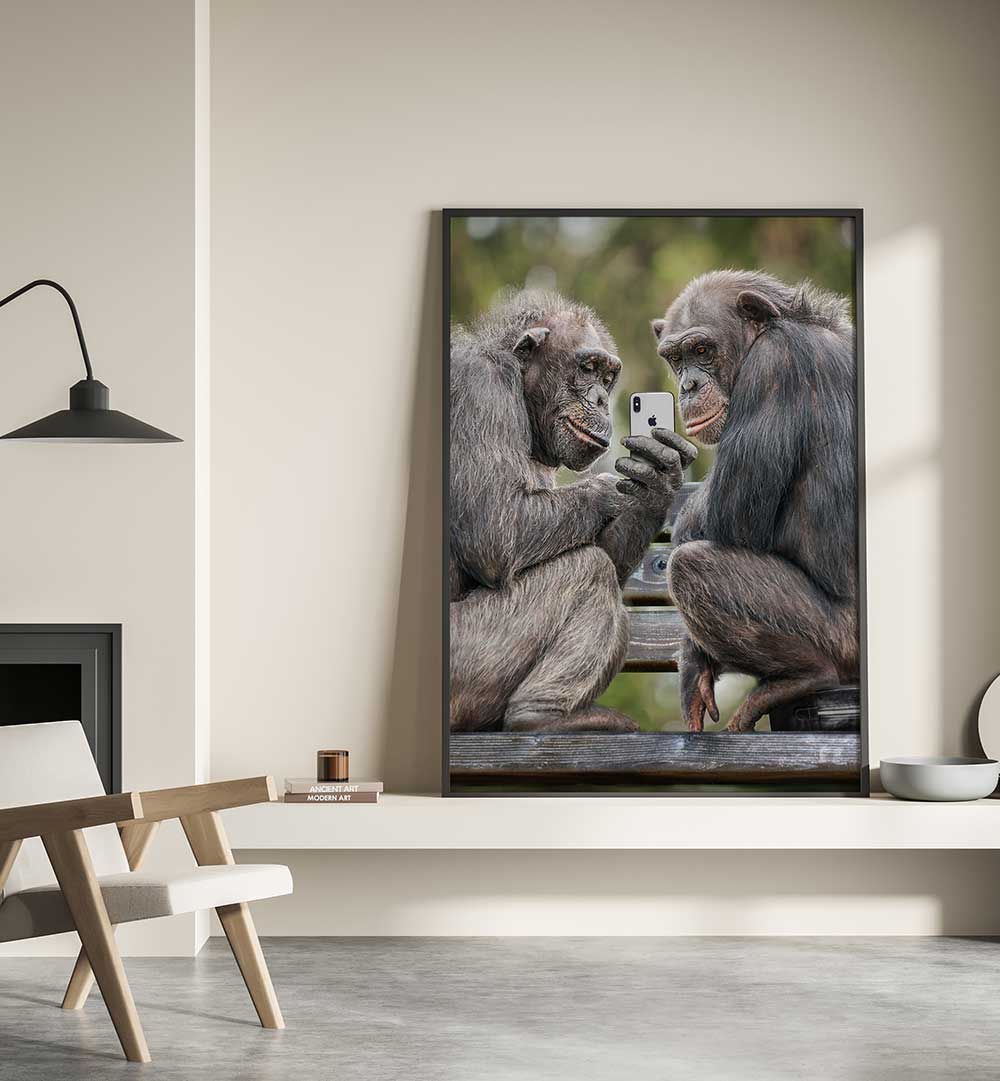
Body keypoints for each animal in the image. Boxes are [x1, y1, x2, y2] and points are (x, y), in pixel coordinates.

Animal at [450, 289, 696, 733]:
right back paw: (545, 716)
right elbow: (496, 528)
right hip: (467, 660)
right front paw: (609, 491)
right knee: (586, 569)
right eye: (588, 368)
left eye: (606, 377)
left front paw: (656, 484)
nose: (599, 398)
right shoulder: (480, 387)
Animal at [652, 270, 858, 732]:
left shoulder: (774, 366)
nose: (688, 385)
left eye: (702, 350)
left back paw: (803, 675)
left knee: (691, 565)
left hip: (841, 638)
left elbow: (727, 516)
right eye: (675, 358)